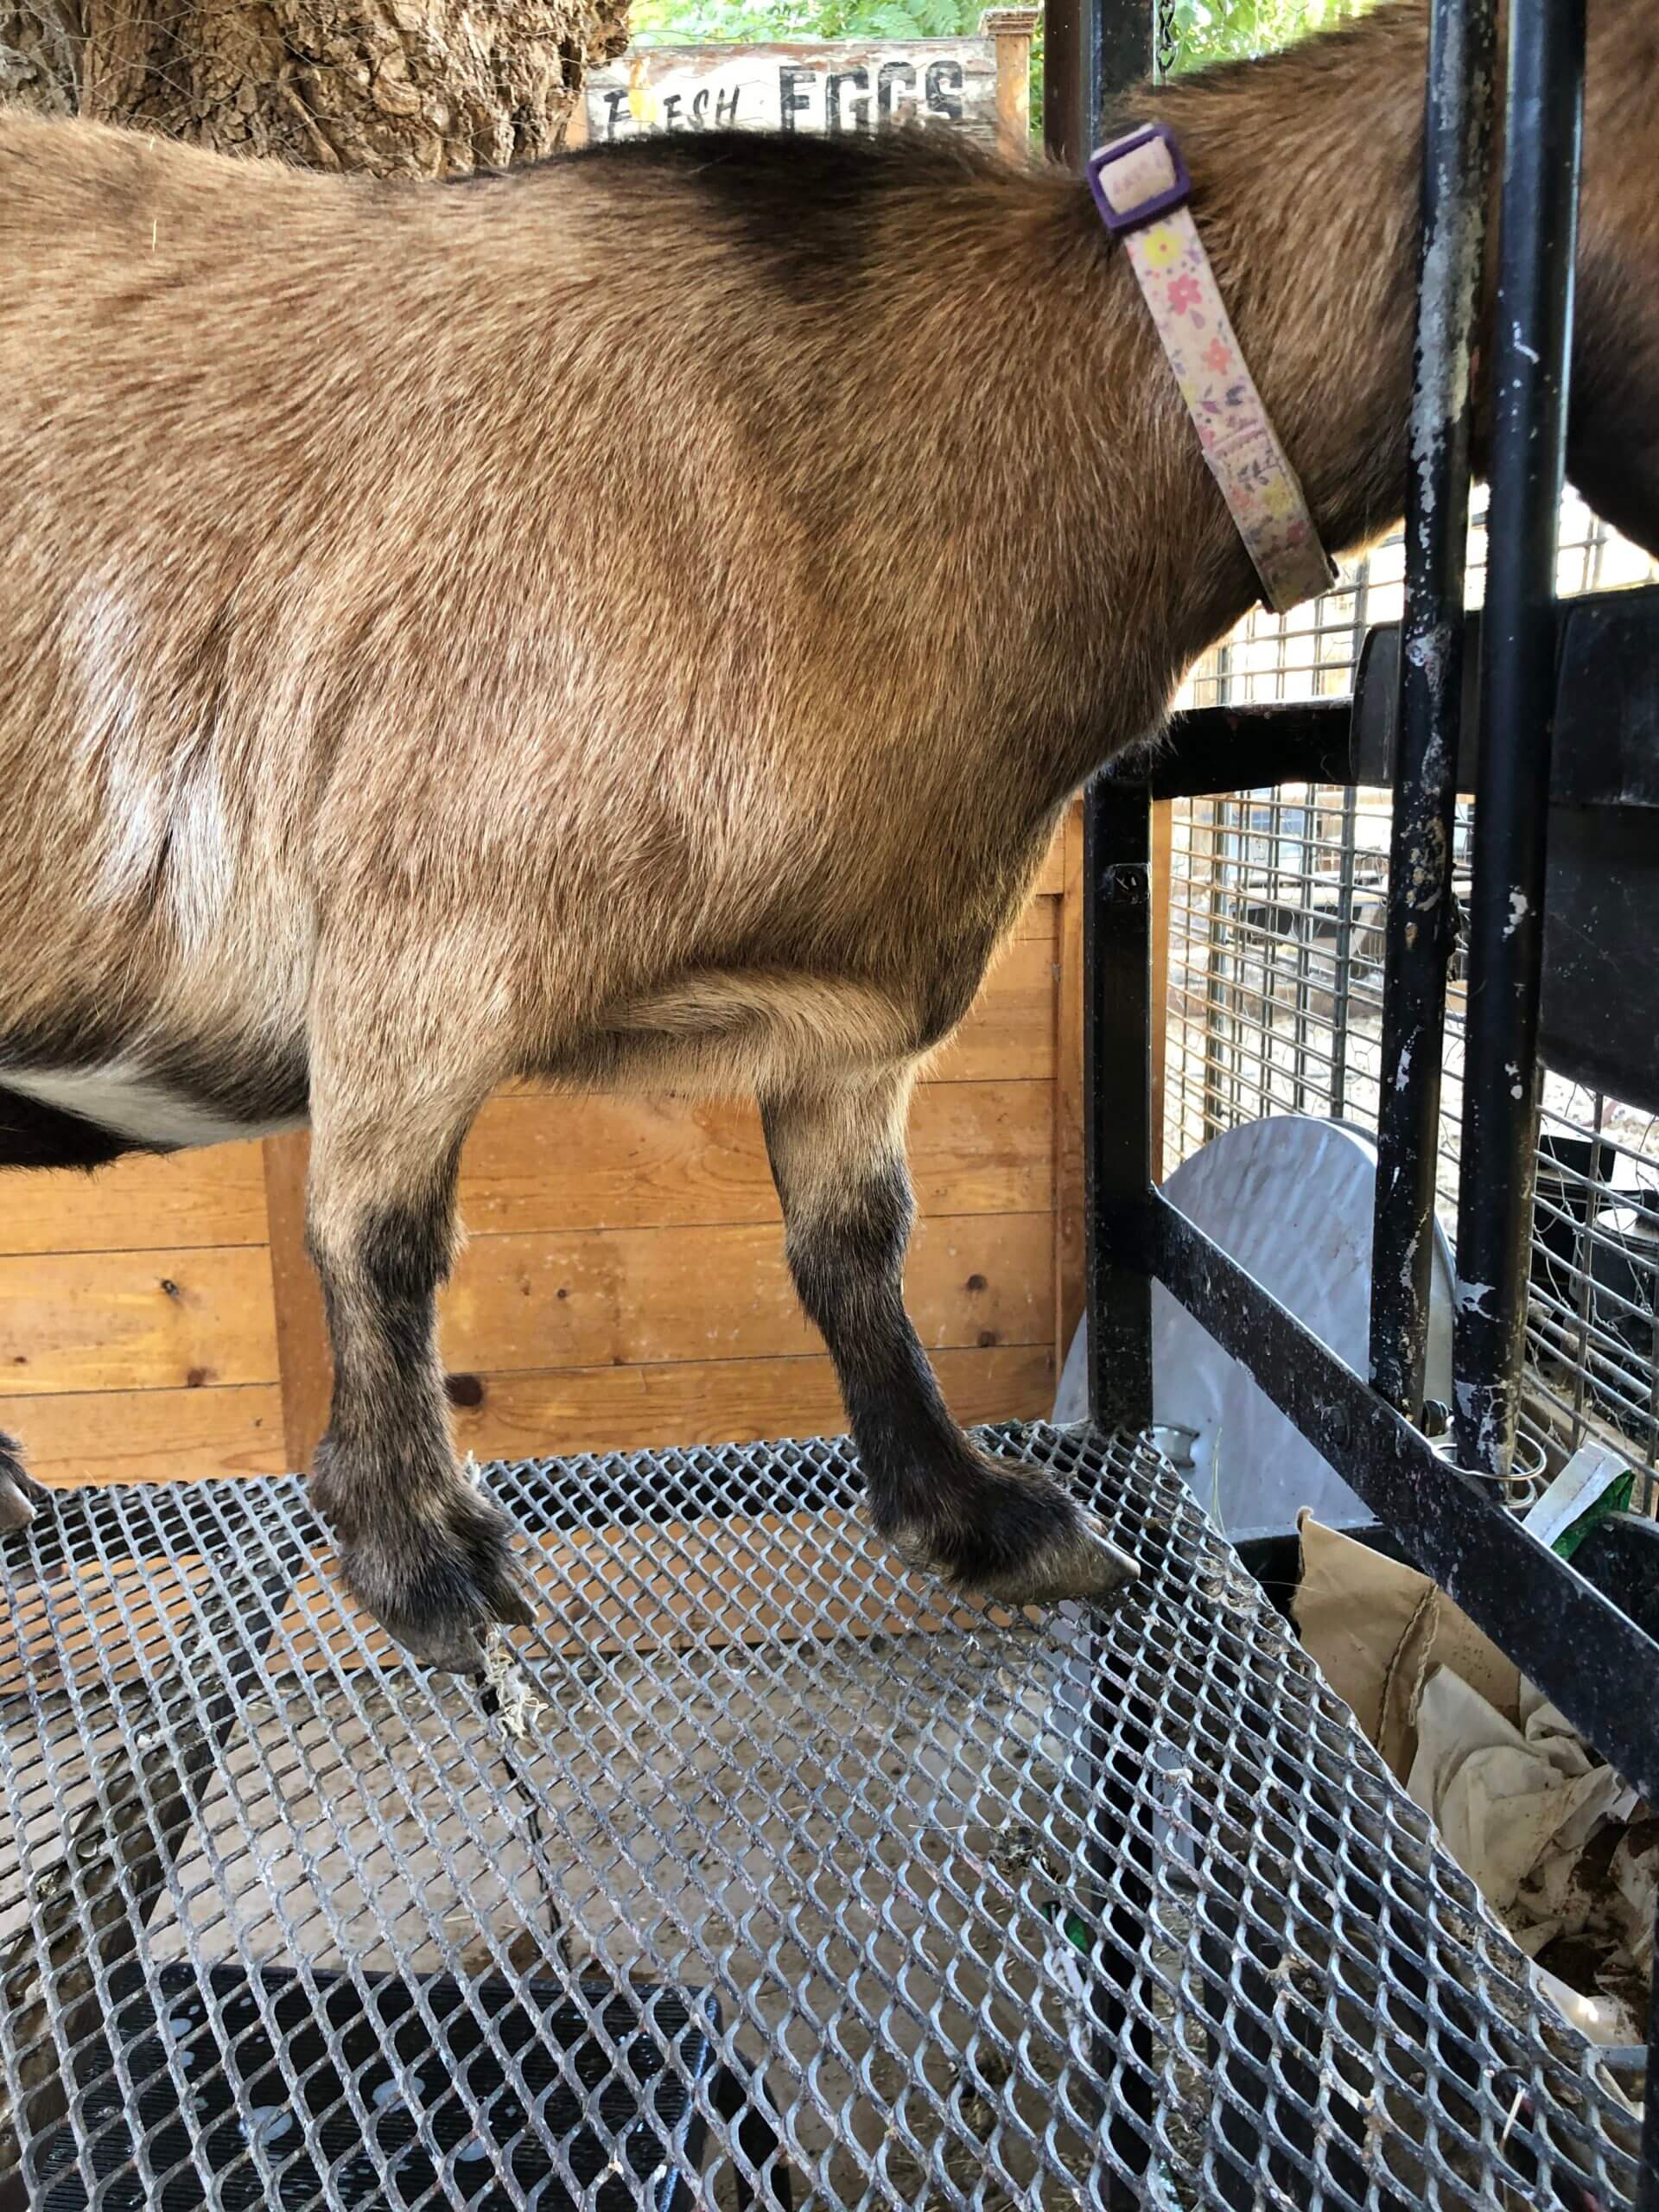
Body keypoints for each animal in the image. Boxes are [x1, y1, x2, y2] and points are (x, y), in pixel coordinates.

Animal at [2, 0, 1656, 1669]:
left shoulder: (858, 1009)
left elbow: (857, 1244)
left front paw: (980, 1519)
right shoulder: (429, 919)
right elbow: (379, 1231)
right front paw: (422, 1559)